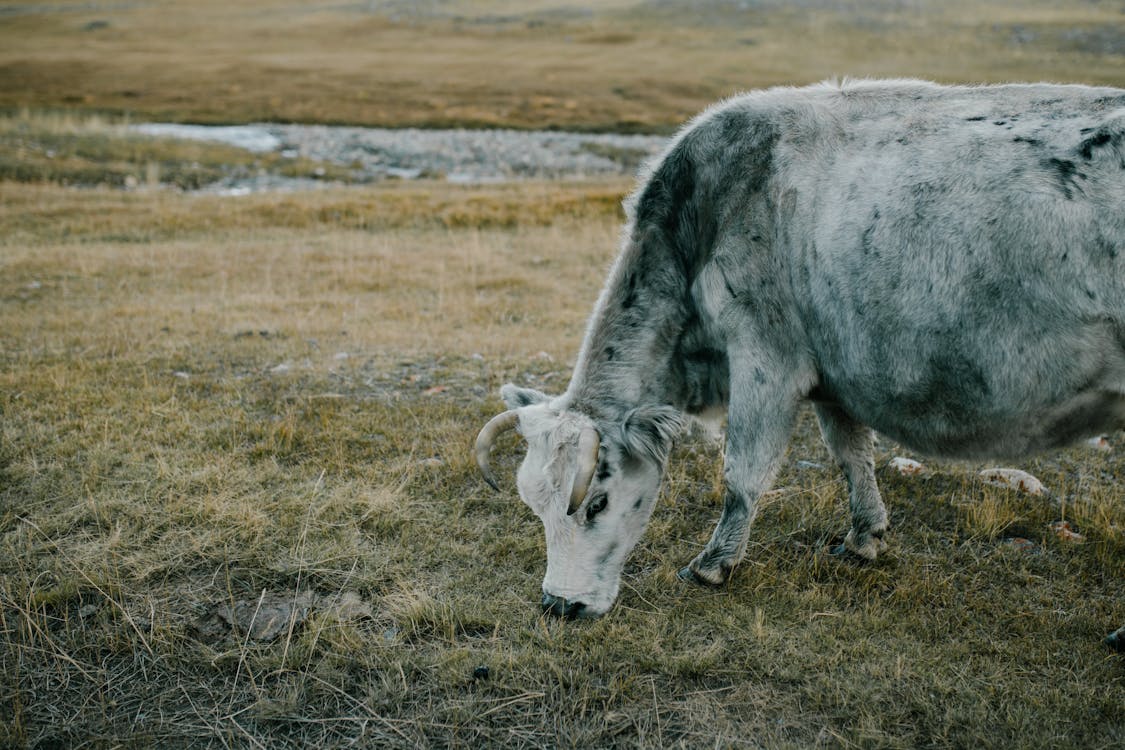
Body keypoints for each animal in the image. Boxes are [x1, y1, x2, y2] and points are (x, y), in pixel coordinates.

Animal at [472, 77, 1125, 652]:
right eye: (535, 505)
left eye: (597, 502)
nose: (559, 605)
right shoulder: (833, 372)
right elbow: (852, 454)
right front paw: (864, 538)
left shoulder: (766, 357)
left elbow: (743, 472)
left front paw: (712, 565)